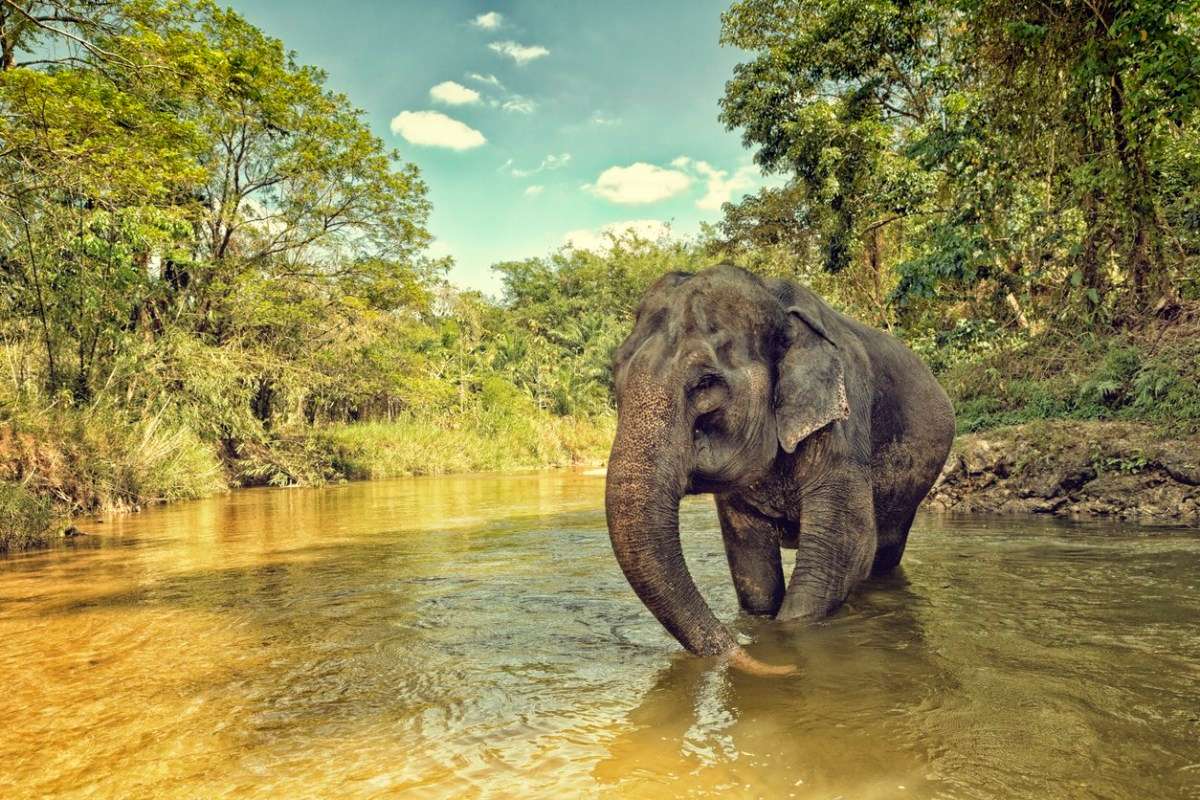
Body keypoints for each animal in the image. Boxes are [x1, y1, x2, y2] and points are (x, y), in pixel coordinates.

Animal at [605, 264, 954, 675]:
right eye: (615, 373)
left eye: (705, 383)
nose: (780, 668)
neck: (774, 299)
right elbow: (751, 563)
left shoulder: (842, 425)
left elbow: (844, 547)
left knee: (883, 550)